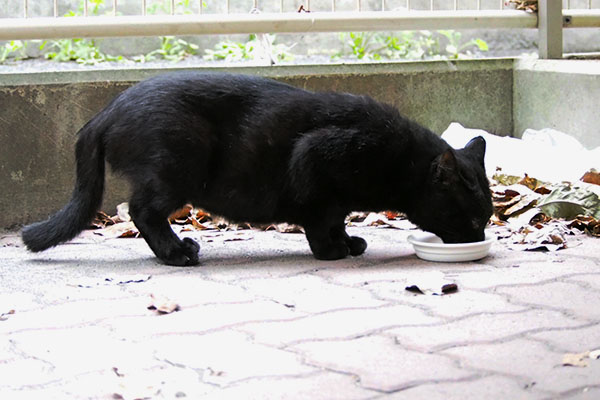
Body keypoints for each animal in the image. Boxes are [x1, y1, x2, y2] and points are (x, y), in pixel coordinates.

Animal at [22, 72, 492, 266]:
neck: (401, 159)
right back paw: (177, 253)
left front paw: (346, 242)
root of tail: (107, 110)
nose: (479, 240)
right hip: (179, 165)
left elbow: (336, 219)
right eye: (471, 219)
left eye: (486, 218)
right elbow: (321, 221)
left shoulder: (334, 197)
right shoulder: (314, 161)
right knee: (144, 212)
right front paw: (332, 250)